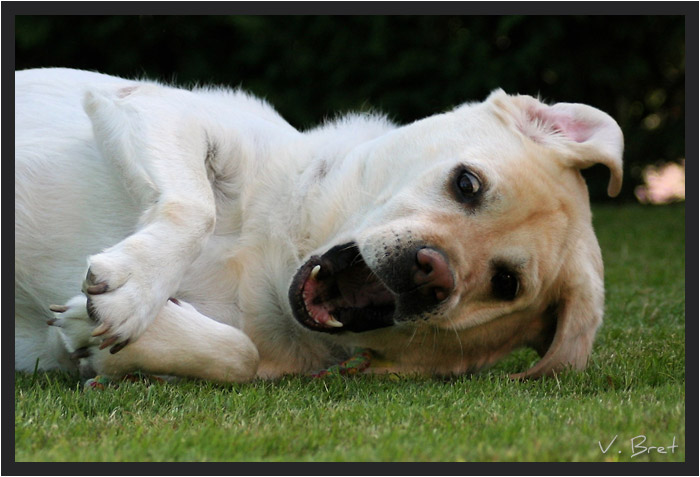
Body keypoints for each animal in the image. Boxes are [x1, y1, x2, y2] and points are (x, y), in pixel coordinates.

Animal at [12, 67, 624, 382]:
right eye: (468, 184)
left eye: (506, 284)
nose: (430, 272)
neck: (270, 264)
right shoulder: (153, 107)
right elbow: (195, 207)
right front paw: (135, 287)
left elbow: (240, 355)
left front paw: (104, 333)